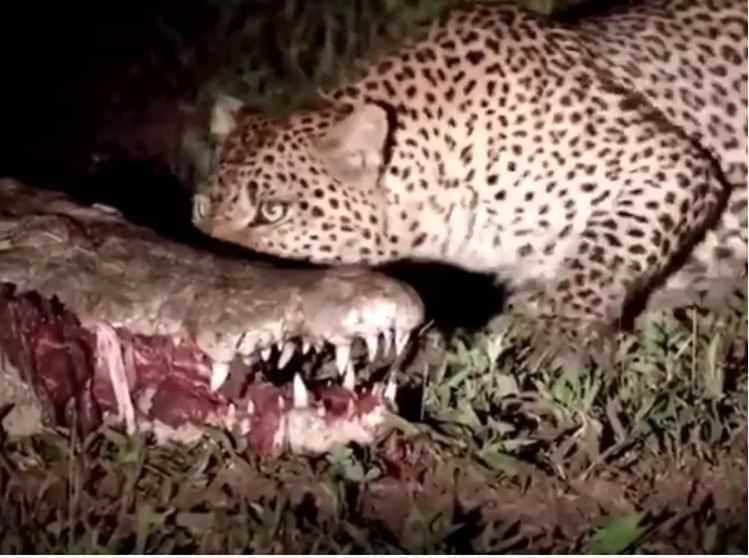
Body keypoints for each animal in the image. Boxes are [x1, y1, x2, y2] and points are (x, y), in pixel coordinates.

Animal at [193, 0, 748, 370]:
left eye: (273, 211)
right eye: (200, 209)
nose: (210, 268)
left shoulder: (668, 166)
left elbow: (601, 255)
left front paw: (561, 339)